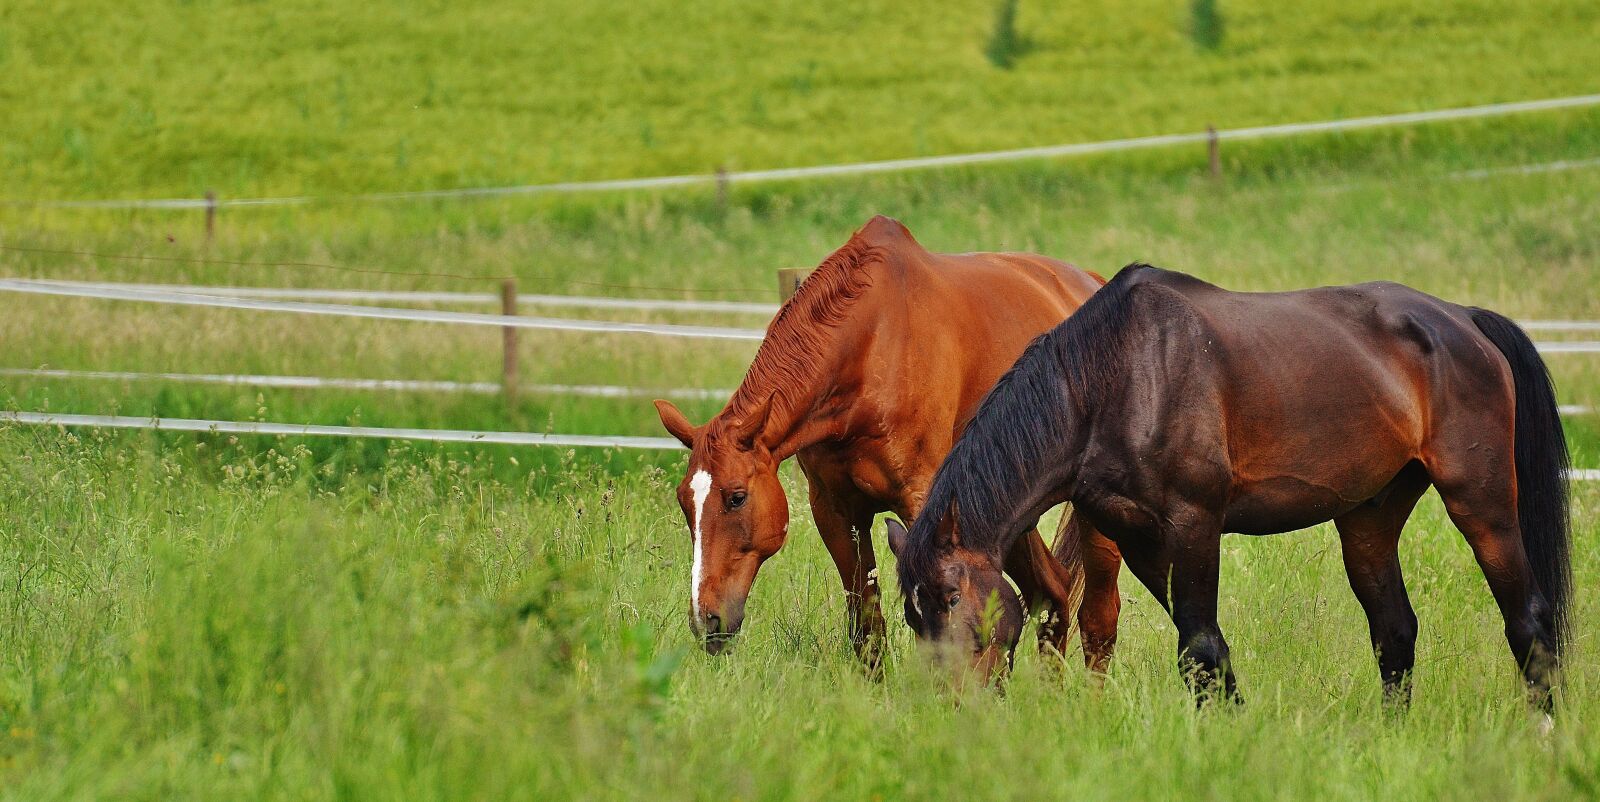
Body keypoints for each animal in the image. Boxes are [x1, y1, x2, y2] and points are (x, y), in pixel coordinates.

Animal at [654, 215, 1104, 671]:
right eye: (684, 502)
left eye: (736, 498)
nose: (705, 620)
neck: (872, 344)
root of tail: (1091, 281)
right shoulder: (836, 510)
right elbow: (867, 627)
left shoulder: (923, 502)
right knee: (1051, 589)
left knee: (1098, 614)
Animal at [889, 264, 1570, 710]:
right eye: (912, 615)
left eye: (951, 597)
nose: (949, 707)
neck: (1114, 379)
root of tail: (1463, 321)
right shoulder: (1140, 542)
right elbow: (1204, 654)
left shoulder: (1194, 524)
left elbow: (1200, 648)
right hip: (1369, 518)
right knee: (1394, 633)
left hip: (1480, 502)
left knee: (1530, 623)